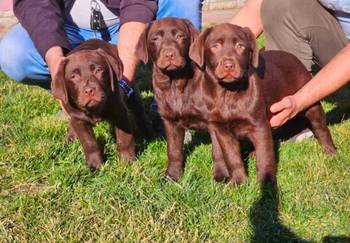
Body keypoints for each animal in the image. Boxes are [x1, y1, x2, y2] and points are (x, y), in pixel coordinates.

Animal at [52, 39, 150, 169]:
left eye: (98, 70)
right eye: (73, 76)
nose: (89, 90)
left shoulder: (120, 114)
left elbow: (125, 139)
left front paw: (127, 161)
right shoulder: (79, 120)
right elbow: (89, 143)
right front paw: (95, 165)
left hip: (132, 95)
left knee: (139, 113)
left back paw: (148, 131)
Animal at [137, 17, 230, 180]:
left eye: (180, 37)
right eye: (155, 39)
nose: (169, 55)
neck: (176, 83)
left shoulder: (215, 122)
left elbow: (218, 152)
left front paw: (221, 176)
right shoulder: (171, 122)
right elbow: (173, 151)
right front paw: (172, 176)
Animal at [190, 23, 338, 184]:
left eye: (240, 46)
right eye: (215, 46)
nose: (229, 65)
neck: (227, 94)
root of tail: (292, 57)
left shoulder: (259, 125)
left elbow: (264, 155)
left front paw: (265, 183)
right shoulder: (222, 132)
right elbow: (232, 158)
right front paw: (238, 182)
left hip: (311, 105)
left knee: (321, 129)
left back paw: (331, 152)